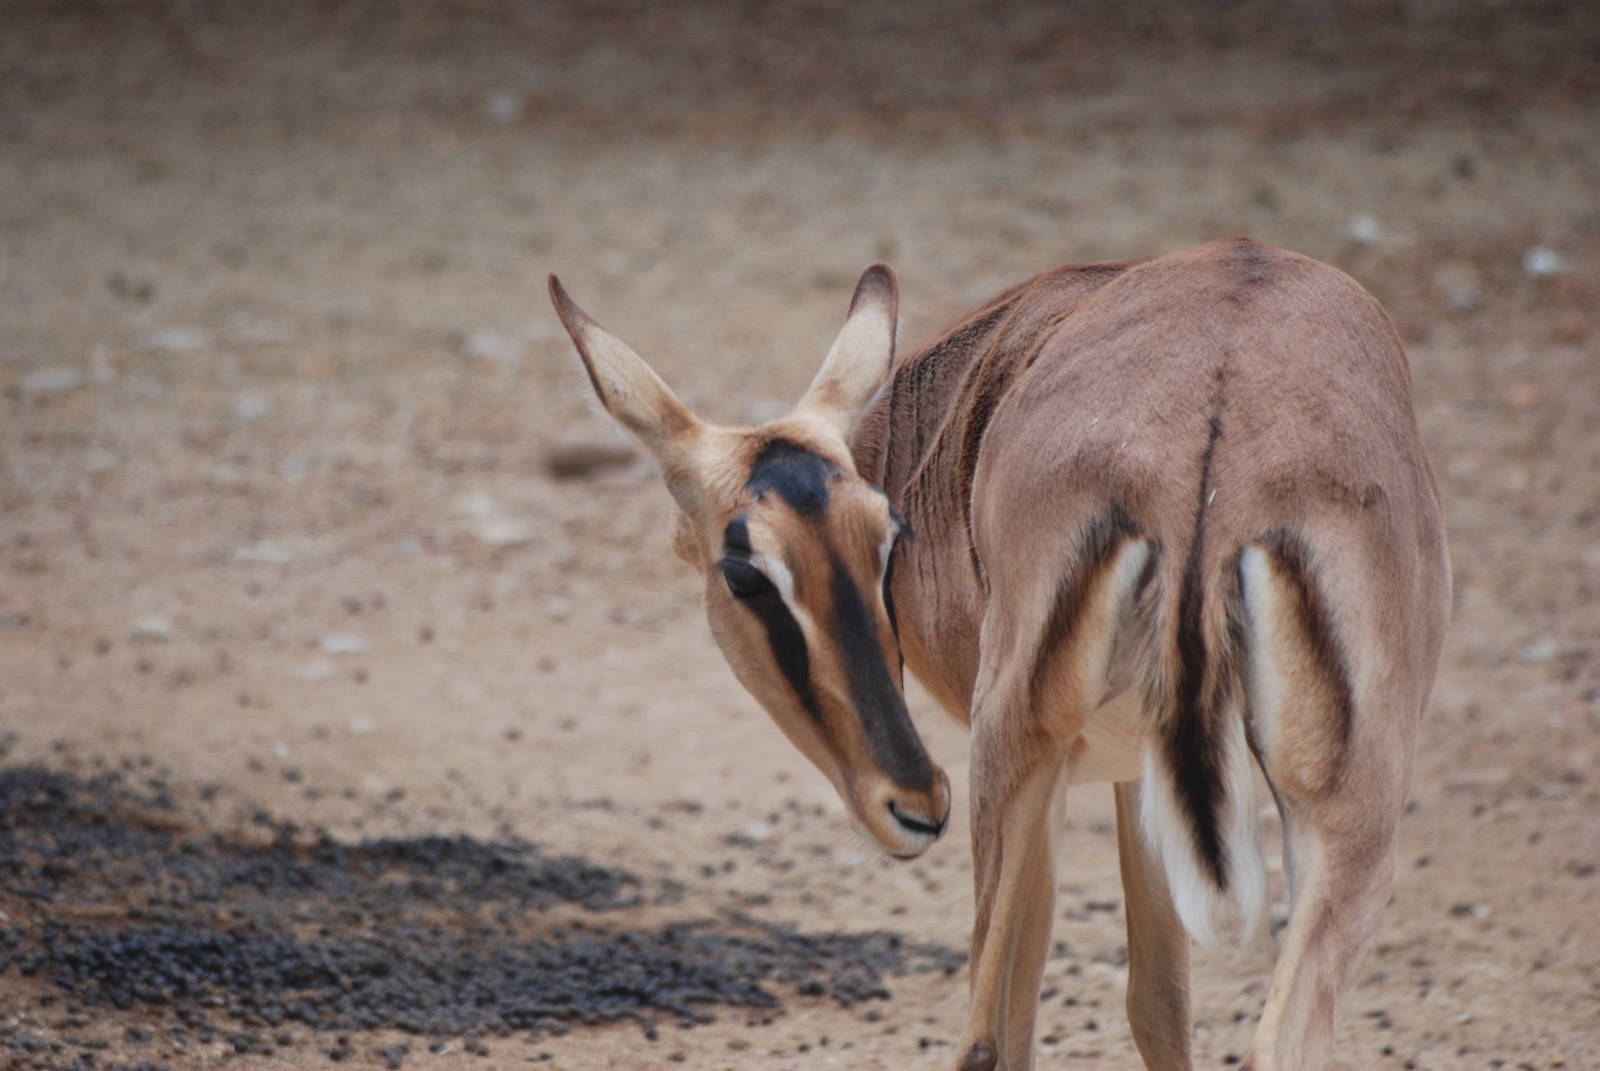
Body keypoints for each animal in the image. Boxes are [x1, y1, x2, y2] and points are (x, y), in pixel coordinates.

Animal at [548, 238, 1450, 1071]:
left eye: (889, 540)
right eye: (746, 571)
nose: (913, 803)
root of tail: (1214, 449)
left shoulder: (1075, 776)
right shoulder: (1131, 774)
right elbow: (1162, 998)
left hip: (1011, 752)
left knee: (983, 1035)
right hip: (1346, 820)